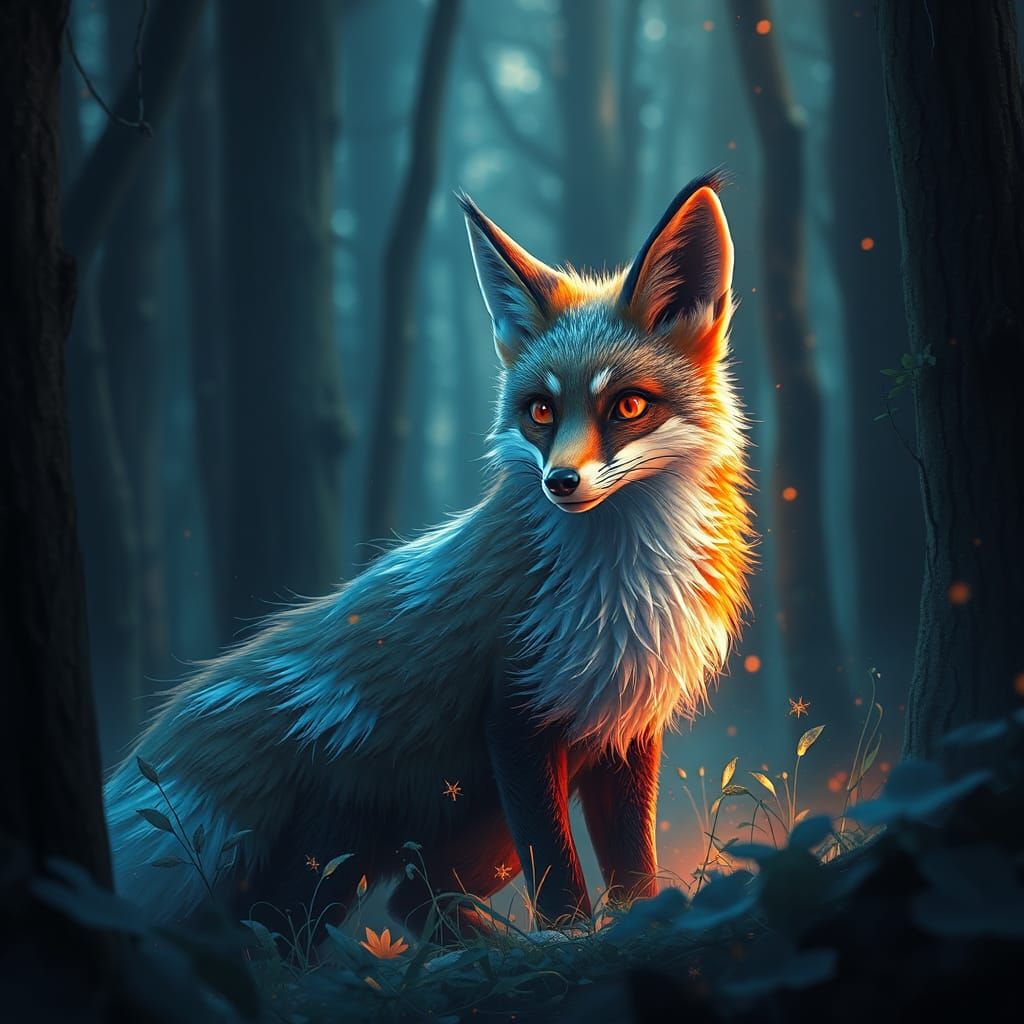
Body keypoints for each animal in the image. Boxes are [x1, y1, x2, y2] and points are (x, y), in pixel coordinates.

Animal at [104, 172, 752, 932]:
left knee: (412, 901)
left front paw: (640, 922)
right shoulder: (517, 716)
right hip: (347, 854)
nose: (559, 482)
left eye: (627, 406)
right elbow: (560, 879)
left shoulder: (625, 728)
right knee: (283, 931)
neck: (619, 596)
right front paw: (569, 940)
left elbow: (632, 867)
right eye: (540, 411)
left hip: (473, 837)